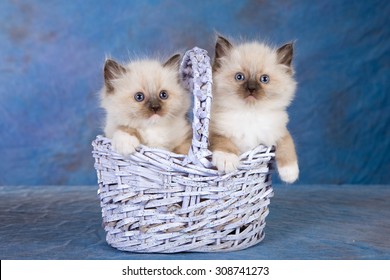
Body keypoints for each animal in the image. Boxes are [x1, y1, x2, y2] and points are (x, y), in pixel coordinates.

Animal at [210, 35, 298, 184]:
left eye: (264, 79)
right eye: (239, 77)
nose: (251, 88)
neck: (250, 113)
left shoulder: (277, 131)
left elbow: (287, 141)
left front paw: (290, 172)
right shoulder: (213, 130)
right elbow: (221, 139)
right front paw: (227, 159)